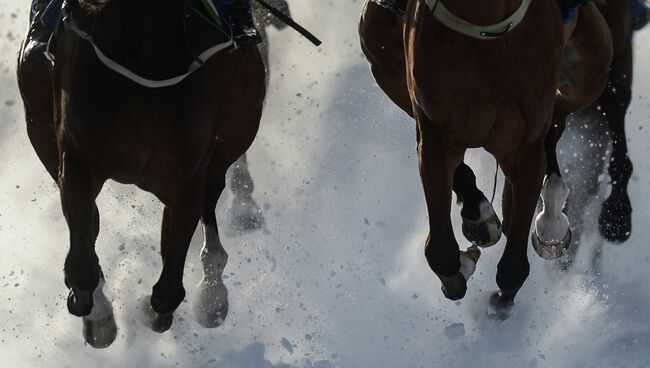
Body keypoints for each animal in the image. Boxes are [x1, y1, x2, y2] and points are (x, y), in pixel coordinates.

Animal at [18, 0, 266, 348]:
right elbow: (82, 262)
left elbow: (168, 291)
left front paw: (154, 309)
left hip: (237, 124)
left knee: (213, 192)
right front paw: (98, 317)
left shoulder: (187, 178)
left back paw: (213, 293)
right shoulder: (76, 159)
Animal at [356, 0, 612, 316]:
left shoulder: (524, 146)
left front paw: (502, 301)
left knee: (557, 120)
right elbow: (441, 249)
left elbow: (514, 261)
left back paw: (550, 217)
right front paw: (464, 261)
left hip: (590, 70)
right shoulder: (433, 128)